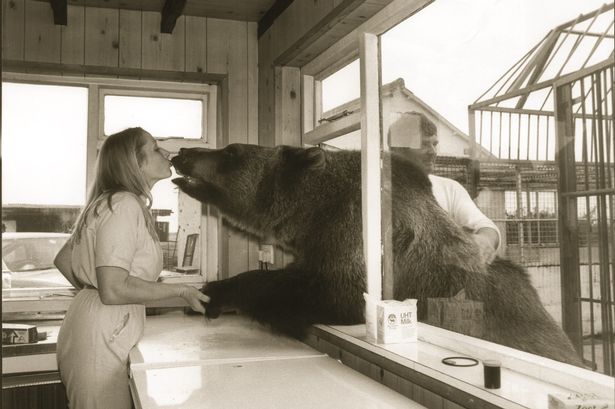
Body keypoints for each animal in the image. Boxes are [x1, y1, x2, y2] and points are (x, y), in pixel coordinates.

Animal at [172, 144, 584, 366]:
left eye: (231, 152)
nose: (183, 152)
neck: (315, 214)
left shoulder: (360, 236)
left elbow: (333, 292)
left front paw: (215, 292)